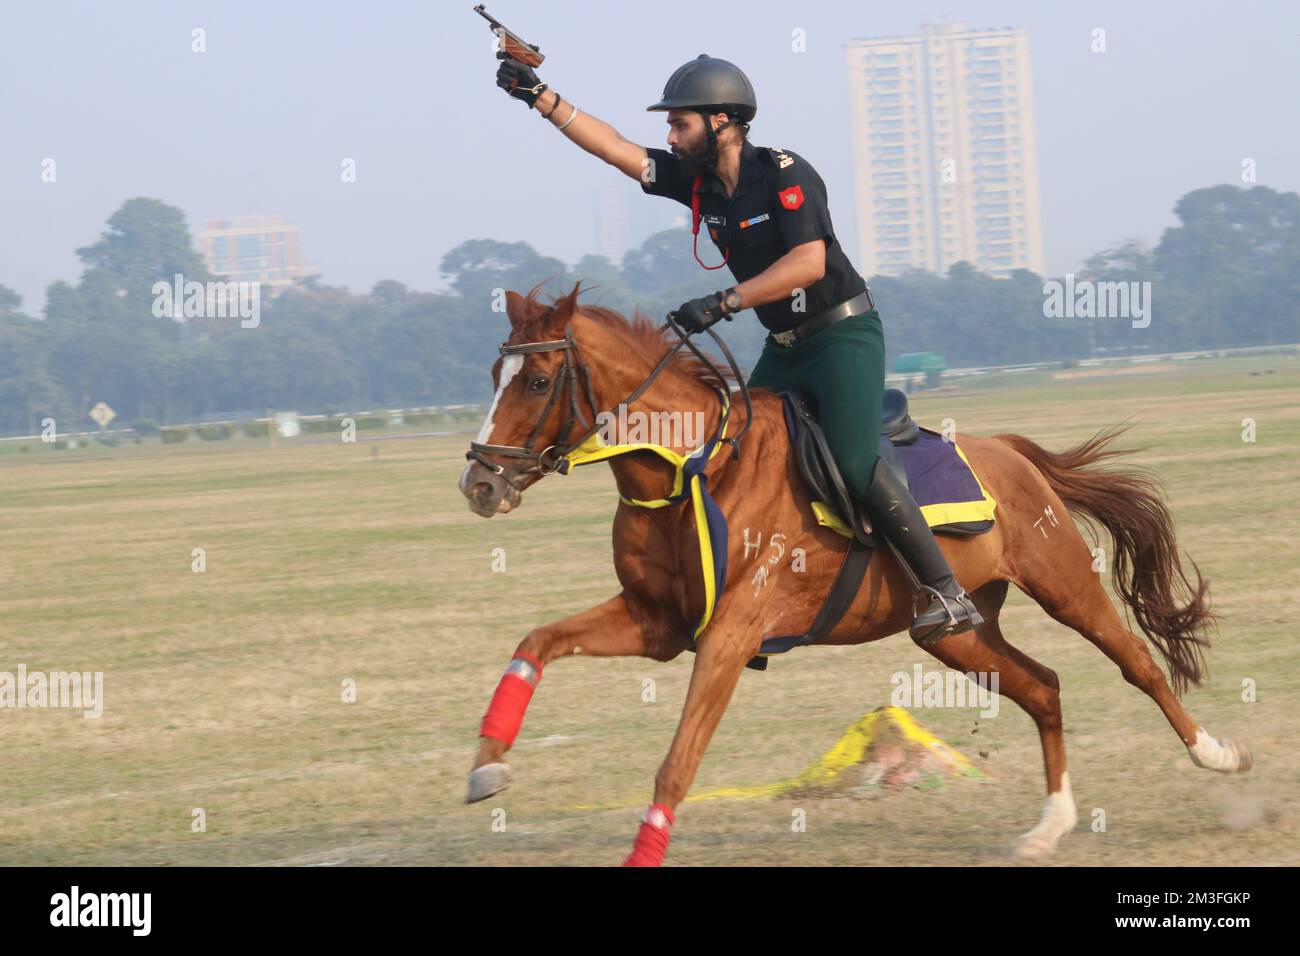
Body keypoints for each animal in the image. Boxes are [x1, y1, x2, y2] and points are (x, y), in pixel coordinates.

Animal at [457, 281, 1251, 866]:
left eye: (536, 381)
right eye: (493, 374)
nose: (479, 485)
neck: (692, 470)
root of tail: (1011, 451)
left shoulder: (730, 635)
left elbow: (677, 763)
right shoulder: (659, 624)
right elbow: (535, 642)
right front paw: (487, 765)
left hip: (1064, 585)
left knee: (1137, 663)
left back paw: (1217, 755)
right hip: (954, 635)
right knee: (1043, 687)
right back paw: (1049, 825)